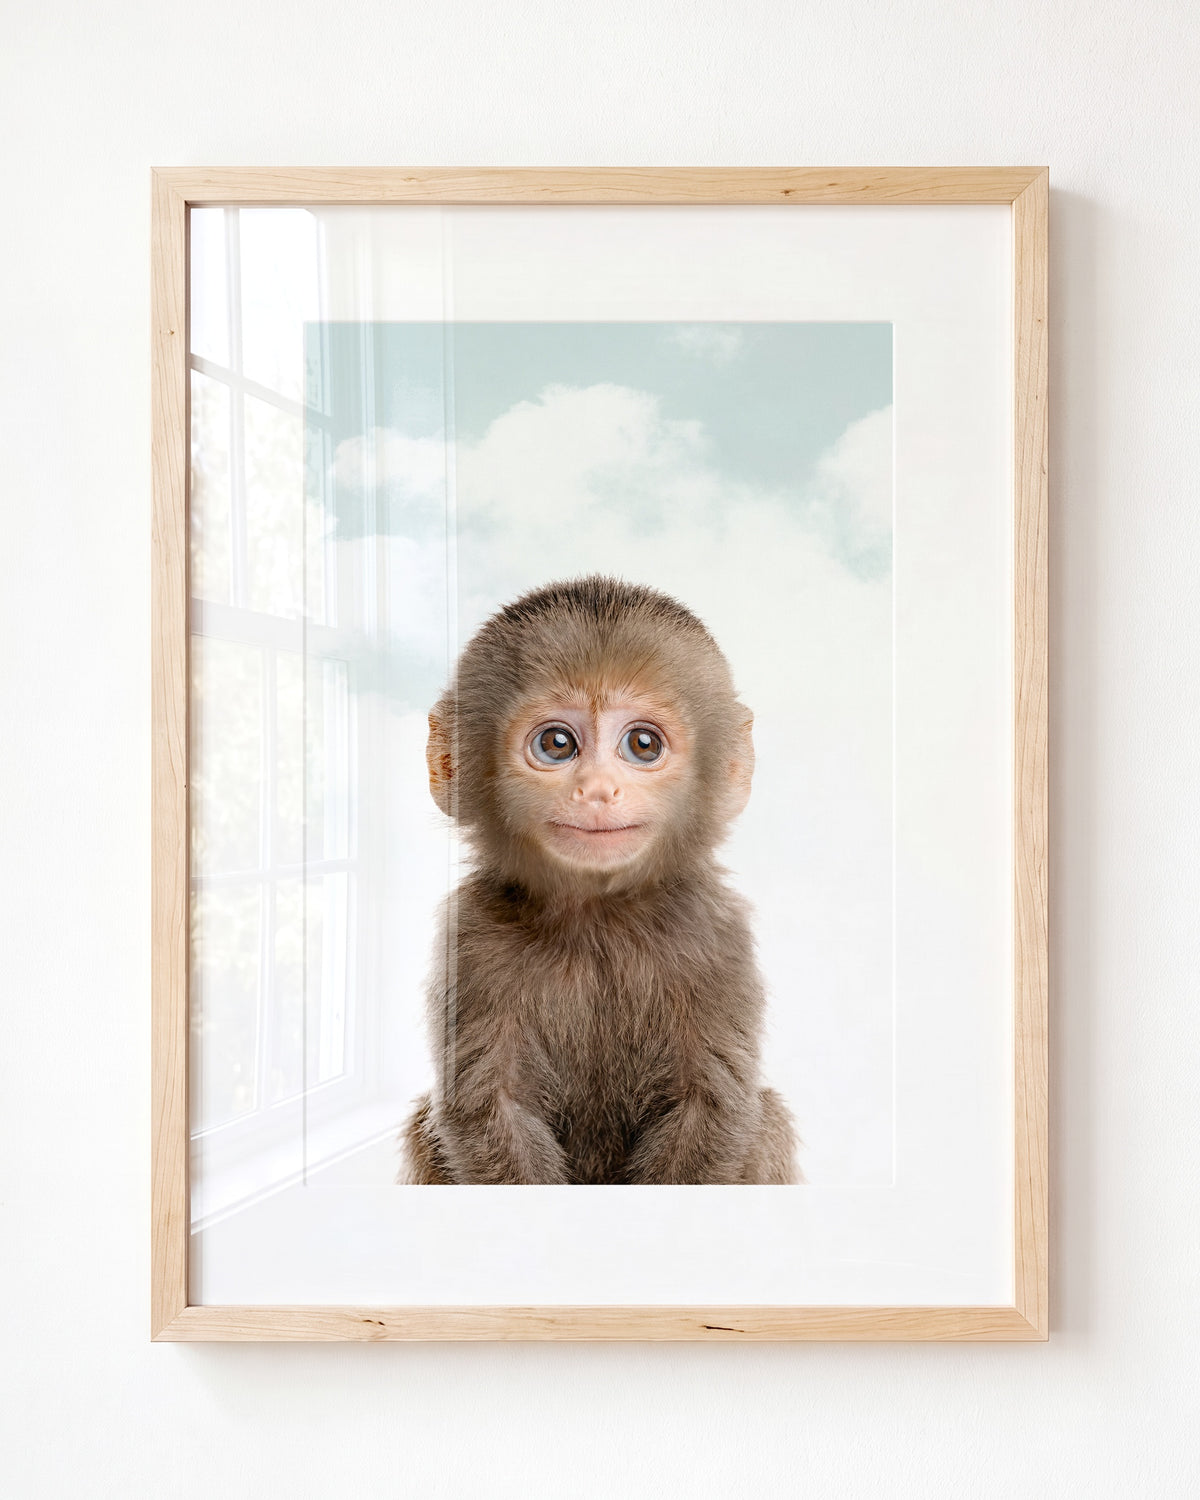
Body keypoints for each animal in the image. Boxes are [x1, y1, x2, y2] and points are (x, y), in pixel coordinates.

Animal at [399, 575, 797, 1185]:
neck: (598, 918)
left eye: (643, 745)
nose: (597, 790)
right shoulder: (470, 940)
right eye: (557, 744)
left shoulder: (716, 935)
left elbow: (709, 1106)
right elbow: (490, 1109)